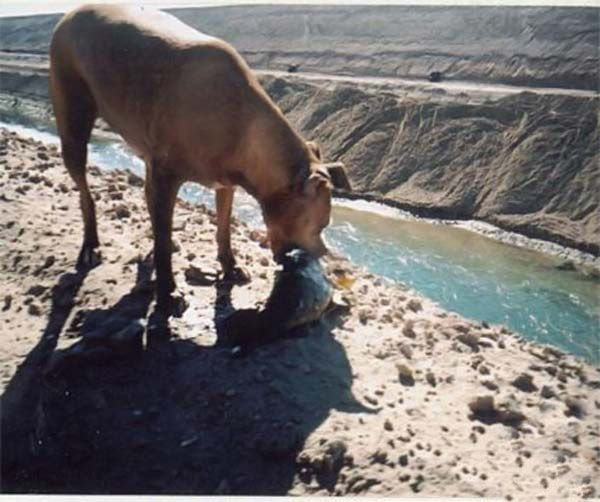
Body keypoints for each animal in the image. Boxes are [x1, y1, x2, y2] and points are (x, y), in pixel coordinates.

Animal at [51, 4, 350, 314]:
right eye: (321, 225)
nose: (322, 261)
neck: (245, 124)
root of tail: (72, 13)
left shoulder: (225, 181)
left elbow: (223, 227)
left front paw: (229, 267)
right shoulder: (166, 178)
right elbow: (163, 242)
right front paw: (167, 292)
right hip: (72, 125)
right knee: (85, 191)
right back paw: (90, 243)